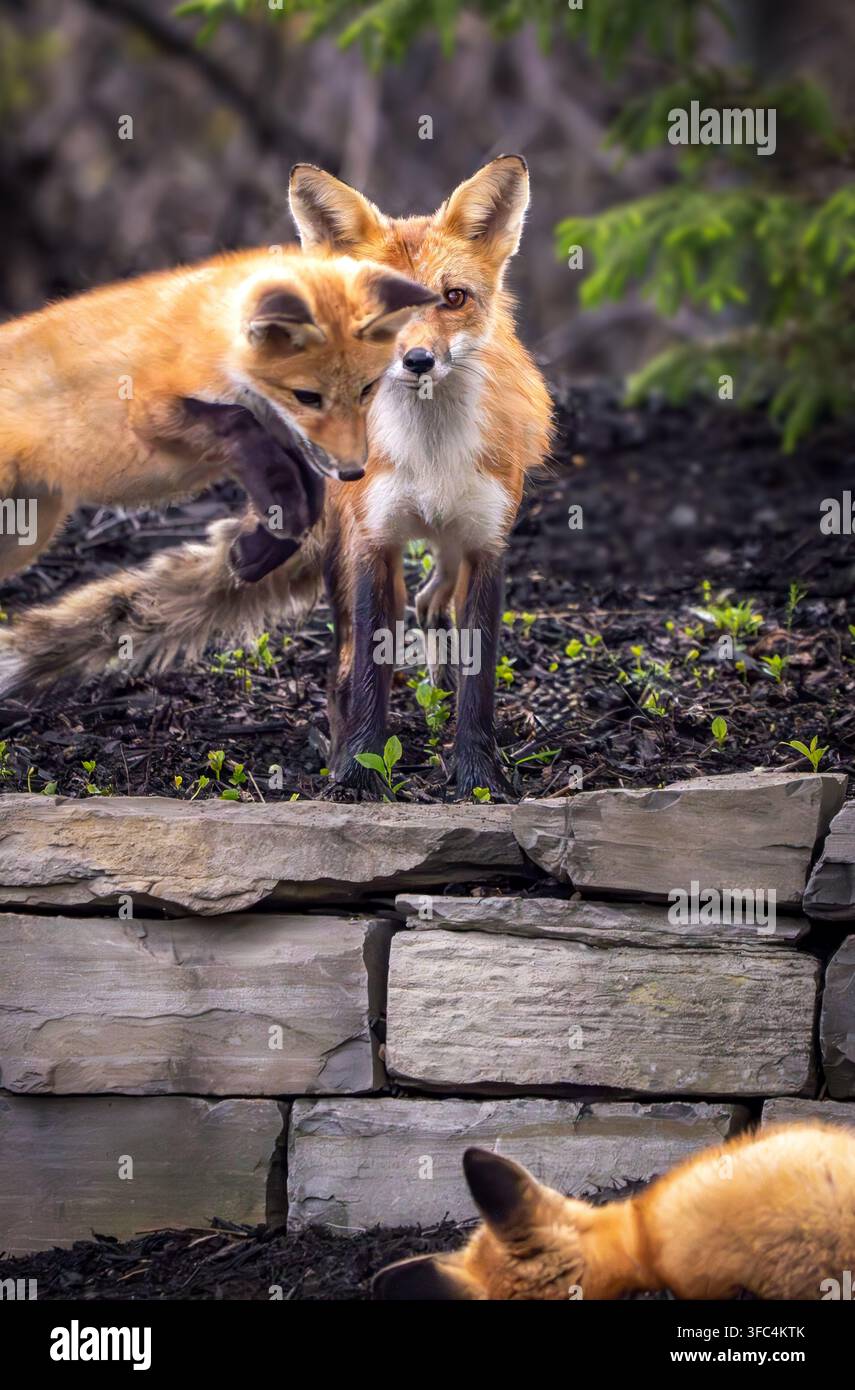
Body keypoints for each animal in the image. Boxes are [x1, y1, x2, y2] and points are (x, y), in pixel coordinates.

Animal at [0, 157, 553, 797]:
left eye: (454, 297)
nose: (417, 361)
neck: (429, 453)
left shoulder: (486, 542)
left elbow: (478, 679)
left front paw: (477, 776)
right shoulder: (371, 540)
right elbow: (366, 669)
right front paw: (358, 774)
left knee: (432, 596)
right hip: (346, 544)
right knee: (350, 656)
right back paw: (341, 745)